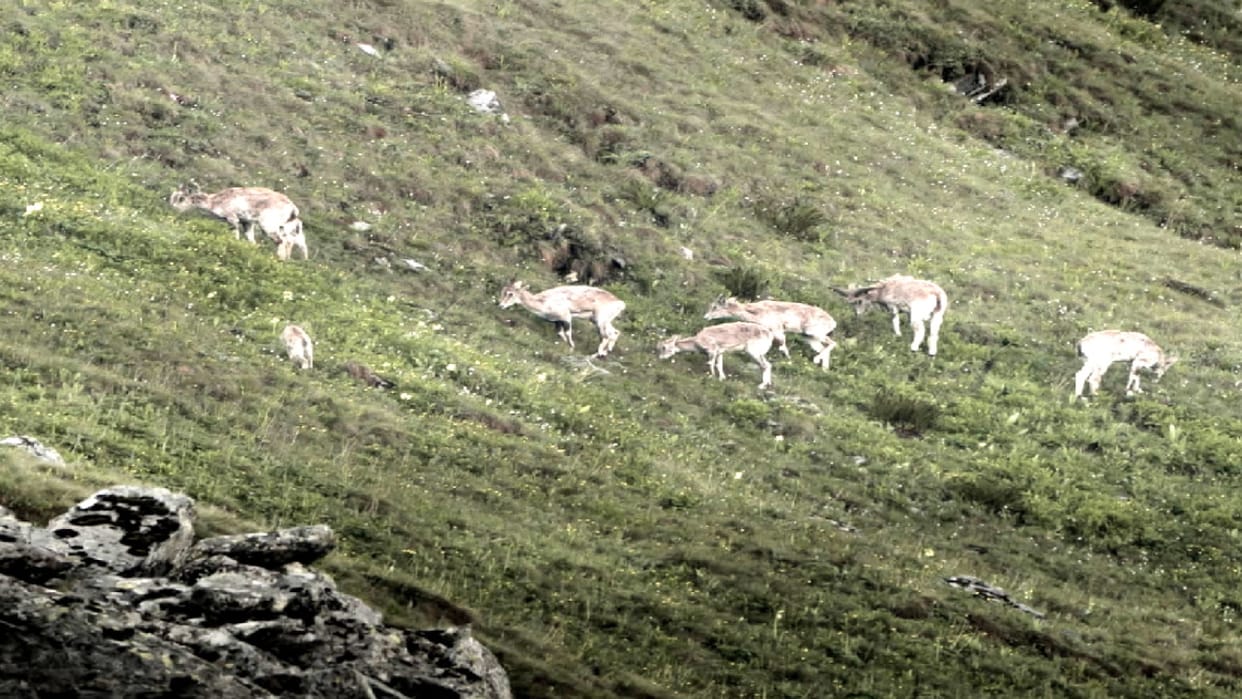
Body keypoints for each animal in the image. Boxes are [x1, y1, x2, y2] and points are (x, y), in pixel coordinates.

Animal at [169, 182, 308, 260]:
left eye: (181, 198)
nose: (173, 208)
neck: (216, 201)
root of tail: (292, 209)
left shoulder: (232, 219)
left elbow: (235, 236)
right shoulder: (247, 223)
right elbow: (251, 241)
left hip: (269, 226)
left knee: (281, 241)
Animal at [498, 281, 626, 358]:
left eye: (510, 294)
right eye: (503, 290)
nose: (501, 305)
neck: (544, 302)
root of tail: (620, 303)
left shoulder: (566, 317)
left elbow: (568, 333)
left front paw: (572, 347)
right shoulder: (557, 321)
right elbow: (560, 334)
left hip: (601, 320)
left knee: (606, 336)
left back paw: (597, 354)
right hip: (598, 320)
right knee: (614, 332)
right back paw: (605, 352)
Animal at [704, 296, 837, 370]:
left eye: (715, 307)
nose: (706, 317)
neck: (756, 312)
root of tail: (832, 322)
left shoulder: (778, 331)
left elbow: (783, 346)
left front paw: (788, 361)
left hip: (814, 333)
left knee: (832, 343)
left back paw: (816, 360)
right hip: (809, 338)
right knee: (823, 348)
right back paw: (824, 368)